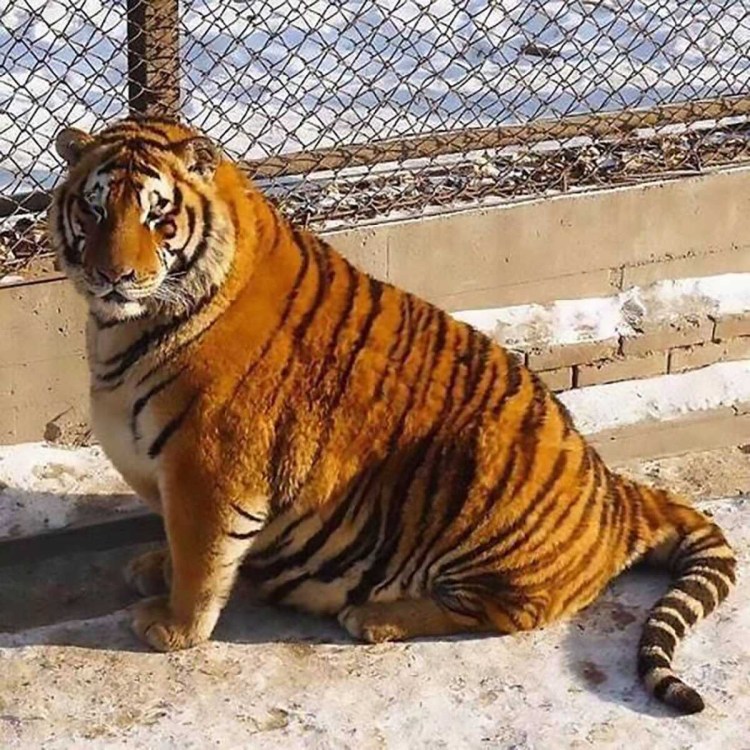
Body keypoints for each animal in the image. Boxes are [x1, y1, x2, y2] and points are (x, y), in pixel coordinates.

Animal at [48, 116, 736, 715]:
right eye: (95, 209)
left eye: (157, 215)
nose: (113, 275)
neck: (121, 329)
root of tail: (615, 492)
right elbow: (175, 539)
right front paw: (154, 569)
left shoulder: (209, 469)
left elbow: (200, 558)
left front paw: (173, 627)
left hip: (482, 481)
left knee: (508, 613)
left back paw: (375, 617)